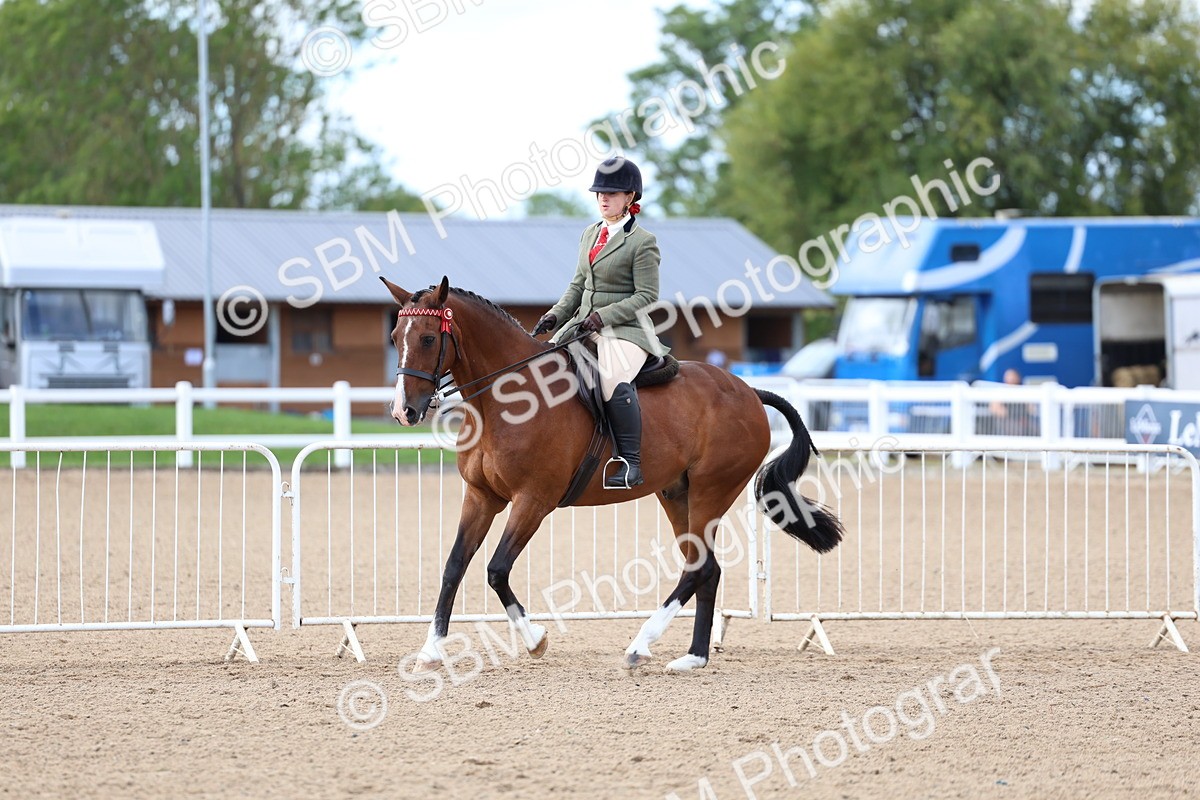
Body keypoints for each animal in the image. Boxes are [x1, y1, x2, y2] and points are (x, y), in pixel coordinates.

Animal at [383, 276, 842, 672]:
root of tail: (748, 390)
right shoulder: (481, 497)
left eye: (428, 338)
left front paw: (536, 640)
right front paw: (430, 651)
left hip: (712, 489)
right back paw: (693, 657)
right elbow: (454, 566)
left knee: (697, 567)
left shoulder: (533, 501)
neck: (507, 399)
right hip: (678, 494)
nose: (404, 412)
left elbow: (496, 570)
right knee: (705, 566)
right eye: (394, 337)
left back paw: (641, 645)